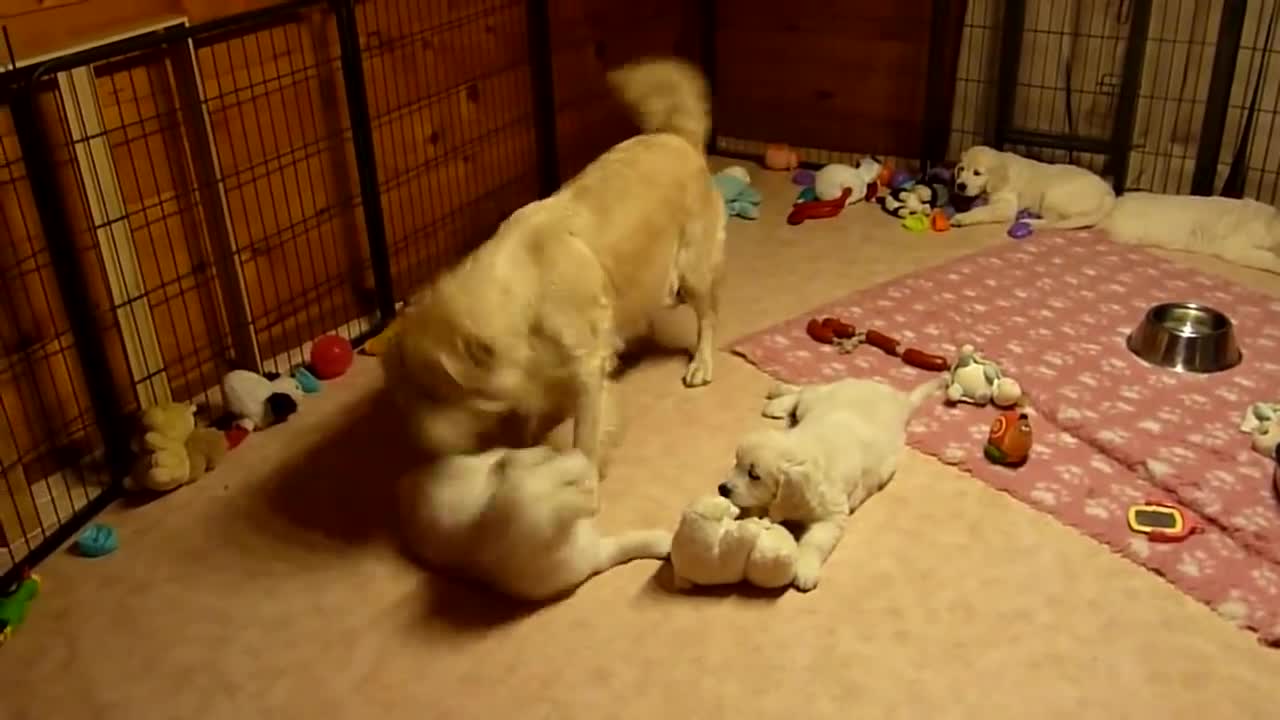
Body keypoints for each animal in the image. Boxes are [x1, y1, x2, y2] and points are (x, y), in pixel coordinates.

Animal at [716, 376, 947, 589]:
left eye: (754, 475)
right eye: (736, 463)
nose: (722, 489)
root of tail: (899, 398)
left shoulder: (833, 516)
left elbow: (815, 541)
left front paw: (805, 569)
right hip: (816, 401)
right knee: (806, 390)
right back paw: (778, 397)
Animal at [947, 143, 1116, 226]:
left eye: (977, 173)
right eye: (961, 169)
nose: (960, 185)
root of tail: (1109, 193)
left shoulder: (1005, 206)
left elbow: (982, 210)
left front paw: (961, 218)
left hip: (1052, 195)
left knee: (1055, 221)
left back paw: (1029, 221)